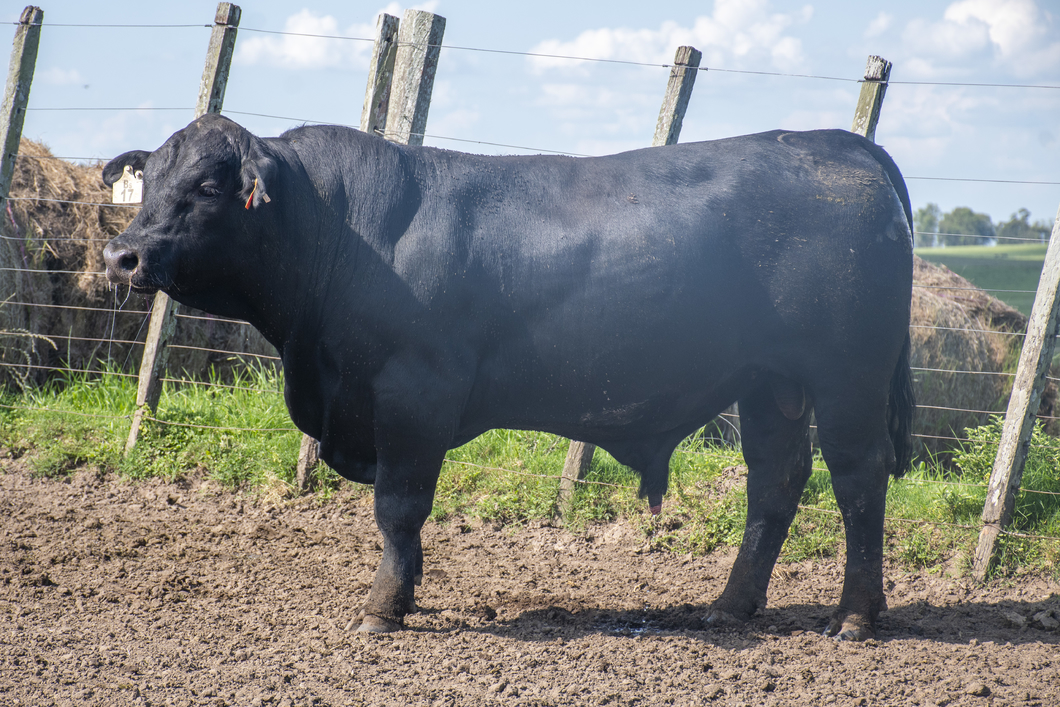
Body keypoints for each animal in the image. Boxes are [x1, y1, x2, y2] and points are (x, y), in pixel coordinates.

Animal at [103, 113, 915, 640]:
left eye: (210, 186)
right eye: (152, 180)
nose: (120, 254)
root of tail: (836, 142)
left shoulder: (413, 394)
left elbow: (399, 508)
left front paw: (382, 608)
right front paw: (407, 595)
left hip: (848, 375)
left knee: (857, 479)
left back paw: (854, 615)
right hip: (770, 383)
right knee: (775, 480)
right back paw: (731, 605)